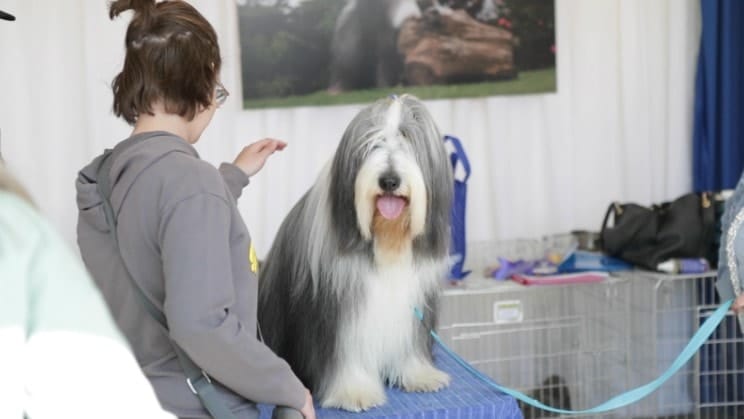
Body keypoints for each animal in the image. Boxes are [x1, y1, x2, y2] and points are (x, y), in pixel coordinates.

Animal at [256, 94, 454, 410]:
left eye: (407, 139)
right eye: (372, 143)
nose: (389, 180)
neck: (386, 241)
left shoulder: (412, 304)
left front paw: (420, 375)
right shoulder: (338, 311)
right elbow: (346, 354)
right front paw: (354, 392)